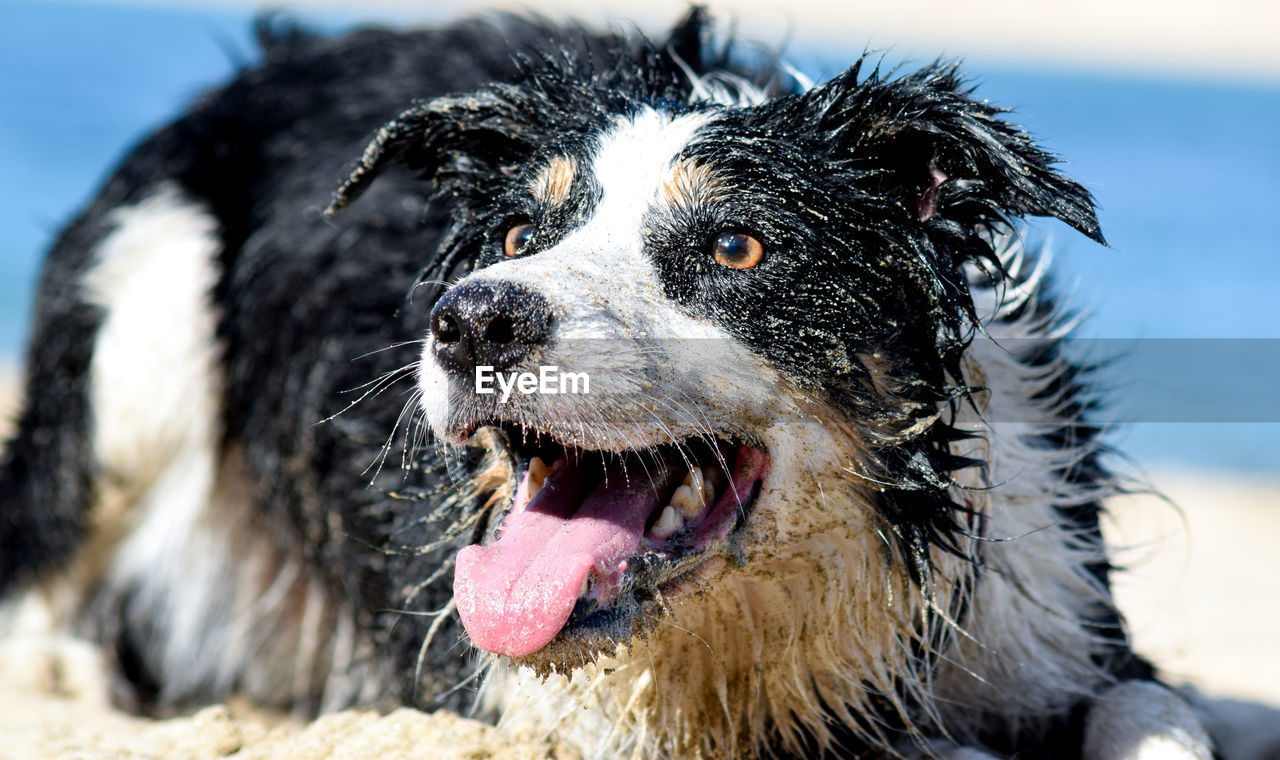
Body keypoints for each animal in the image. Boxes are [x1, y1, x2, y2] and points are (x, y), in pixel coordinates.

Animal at [0, 10, 1218, 757]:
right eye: (513, 232)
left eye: (735, 247)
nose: (472, 319)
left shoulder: (1052, 604)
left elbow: (1154, 711)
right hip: (143, 310)